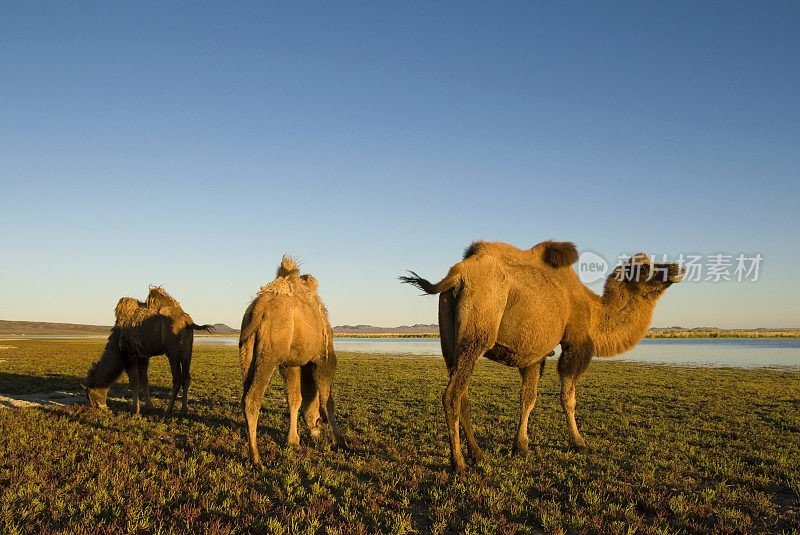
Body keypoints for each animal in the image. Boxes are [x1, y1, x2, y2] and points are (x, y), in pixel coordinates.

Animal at [83, 286, 212, 416]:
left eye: (89, 394)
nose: (99, 407)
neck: (115, 342)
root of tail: (188, 321)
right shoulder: (143, 356)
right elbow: (144, 380)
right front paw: (149, 407)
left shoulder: (129, 354)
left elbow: (134, 381)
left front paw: (135, 410)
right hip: (187, 352)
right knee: (186, 377)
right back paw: (183, 411)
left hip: (173, 352)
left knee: (177, 378)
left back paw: (168, 410)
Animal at [241, 258, 346, 466]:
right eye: (319, 421)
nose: (317, 431)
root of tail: (258, 309)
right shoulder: (324, 359)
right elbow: (326, 400)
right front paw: (340, 442)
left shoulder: (291, 363)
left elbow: (295, 400)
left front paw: (293, 442)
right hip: (269, 354)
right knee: (252, 398)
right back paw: (256, 458)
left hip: (246, 352)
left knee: (244, 395)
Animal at [404, 242, 684, 474]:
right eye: (645, 267)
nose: (676, 267)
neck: (593, 311)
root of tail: (456, 276)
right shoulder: (575, 343)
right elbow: (568, 398)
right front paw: (579, 443)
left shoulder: (534, 355)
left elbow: (528, 399)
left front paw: (521, 446)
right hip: (476, 333)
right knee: (452, 395)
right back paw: (459, 464)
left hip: (449, 340)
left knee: (462, 395)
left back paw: (479, 455)